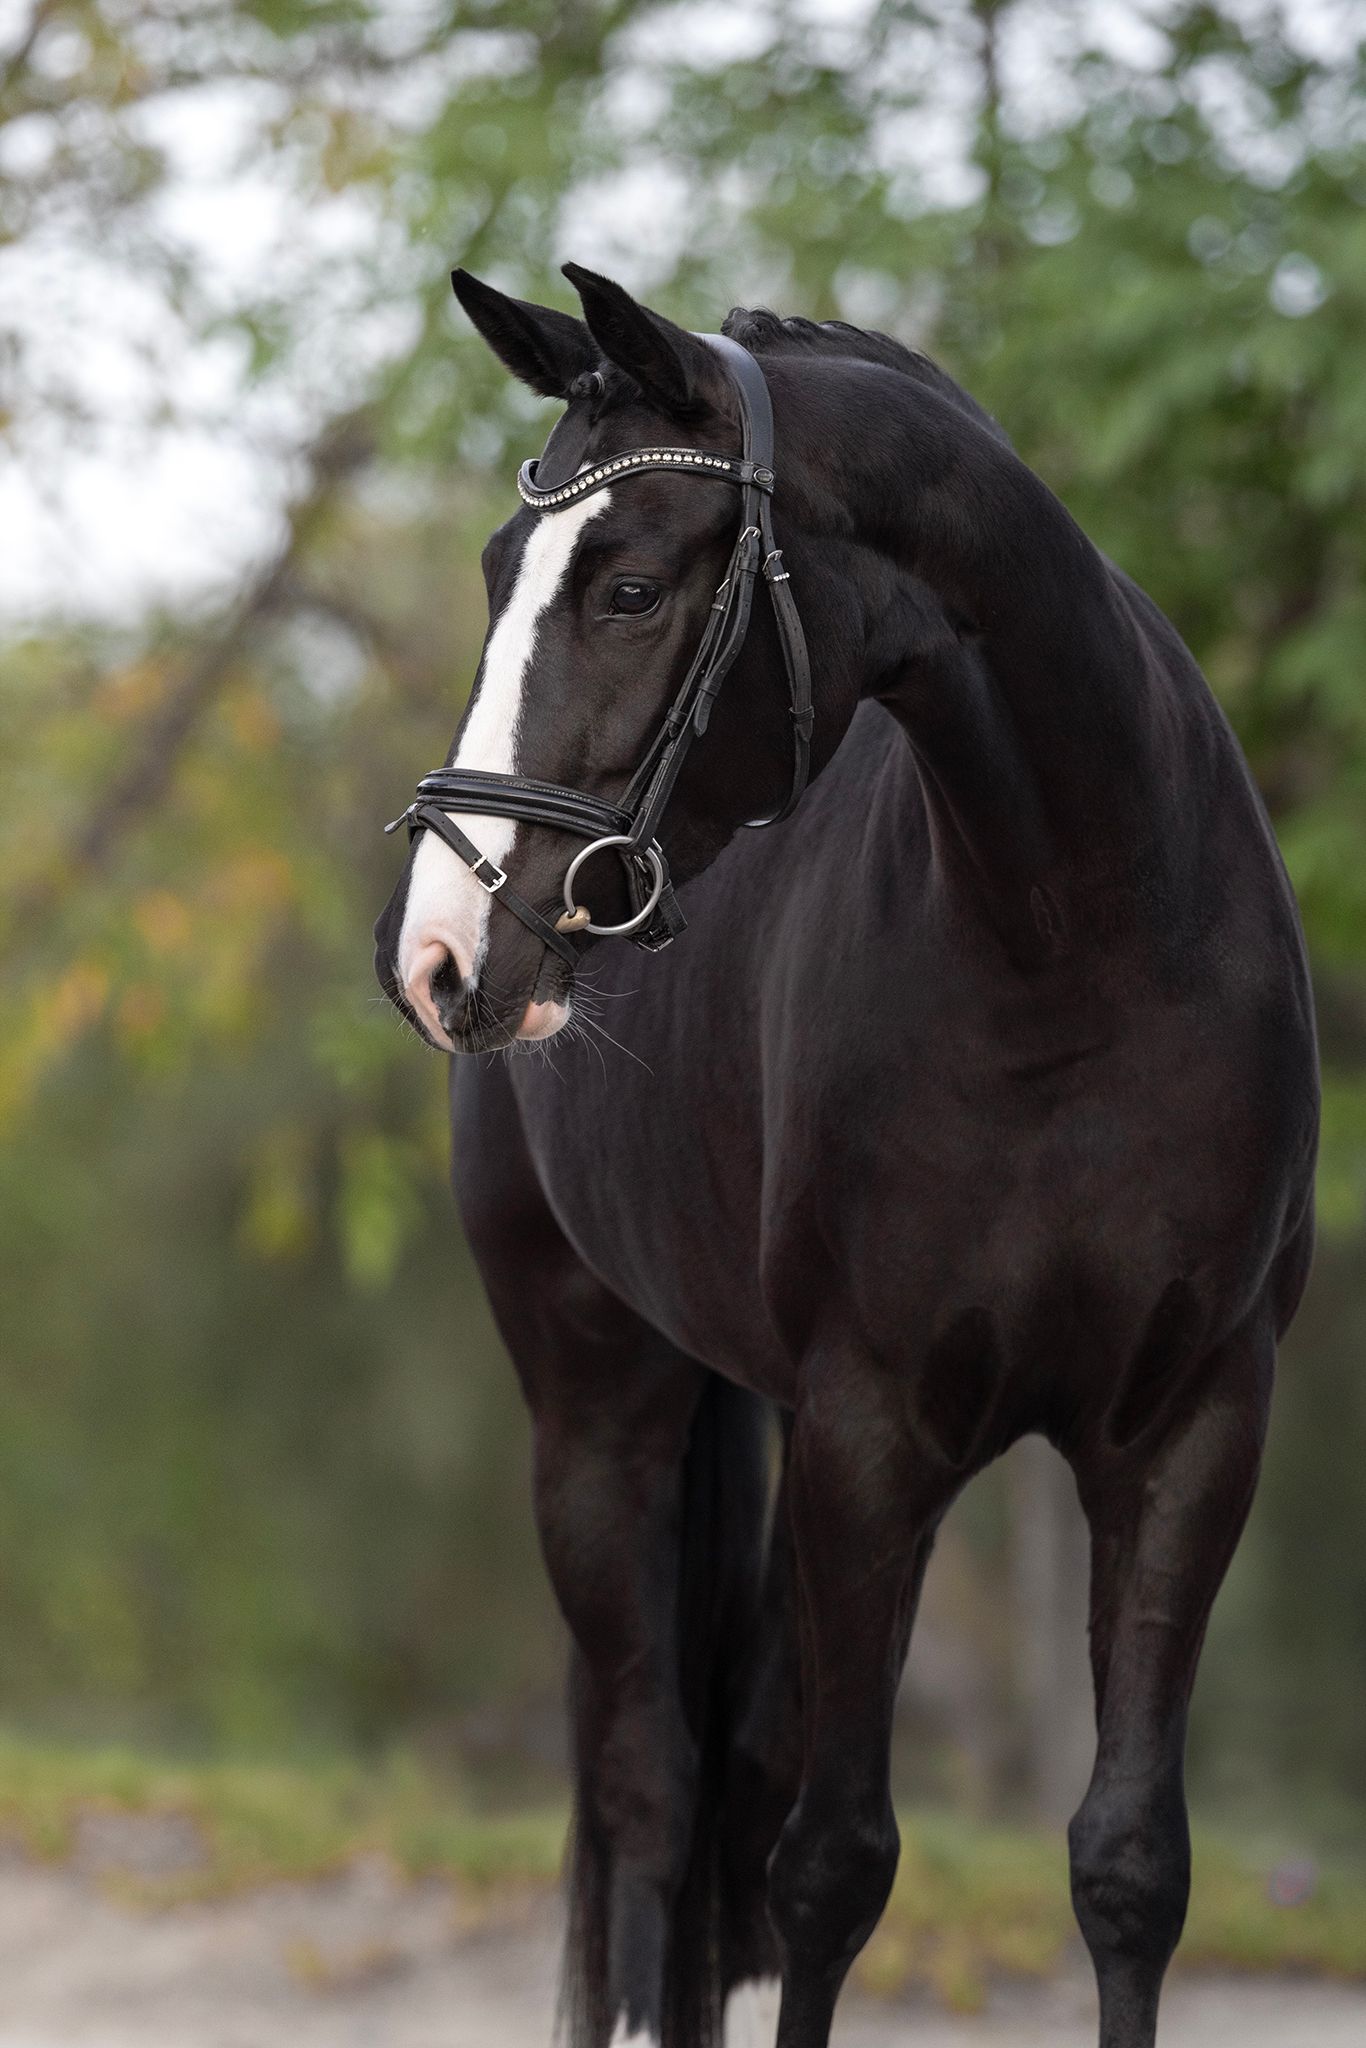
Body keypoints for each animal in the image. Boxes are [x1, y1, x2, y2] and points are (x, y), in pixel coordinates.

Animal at [374, 263, 1319, 2048]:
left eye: (629, 584)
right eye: (493, 575)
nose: (441, 952)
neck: (1074, 940)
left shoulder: (1190, 1431)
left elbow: (1128, 1867)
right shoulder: (866, 1434)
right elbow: (828, 1868)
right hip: (596, 1414)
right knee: (652, 1796)